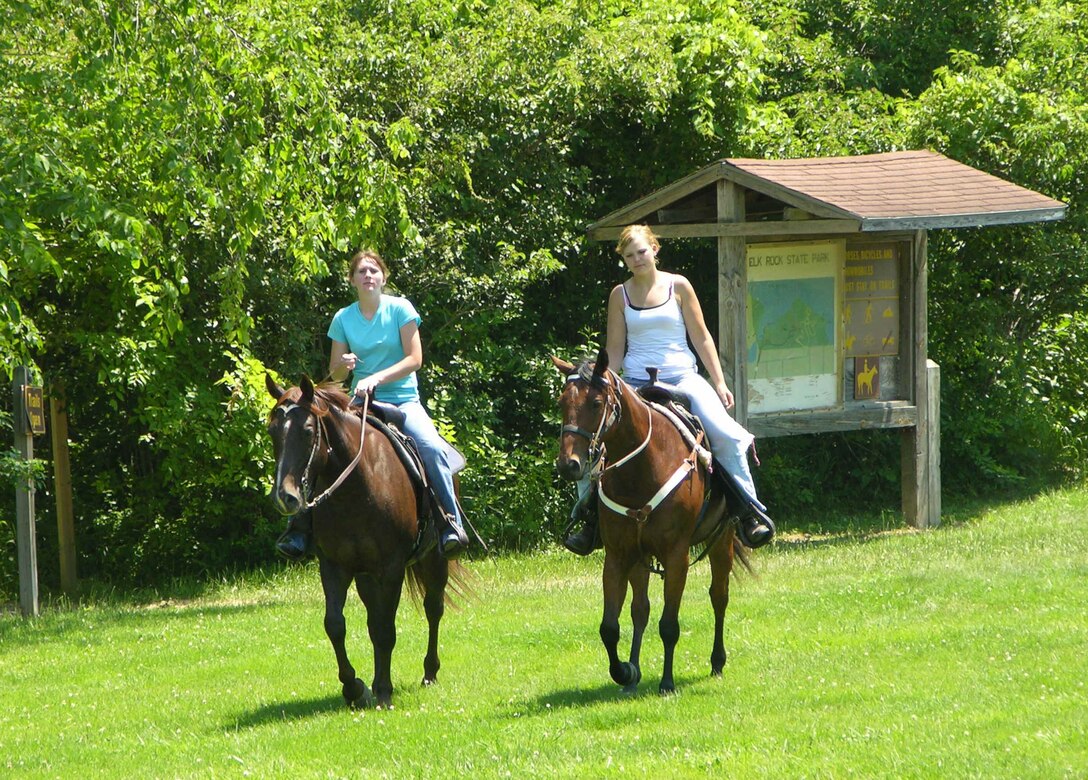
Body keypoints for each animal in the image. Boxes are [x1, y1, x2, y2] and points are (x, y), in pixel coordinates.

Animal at [267, 374, 467, 709]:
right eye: (272, 431)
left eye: (307, 430)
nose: (286, 497)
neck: (357, 488)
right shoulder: (334, 566)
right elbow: (336, 625)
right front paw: (354, 688)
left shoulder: (391, 568)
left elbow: (385, 630)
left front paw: (383, 691)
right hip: (365, 576)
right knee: (375, 617)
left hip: (435, 559)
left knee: (433, 608)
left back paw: (429, 672)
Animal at [557, 345, 744, 691]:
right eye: (562, 403)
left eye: (596, 403)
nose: (568, 464)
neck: (643, 468)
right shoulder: (618, 556)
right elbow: (610, 627)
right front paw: (626, 671)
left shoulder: (676, 556)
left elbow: (669, 624)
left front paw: (667, 682)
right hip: (639, 558)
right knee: (640, 609)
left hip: (722, 540)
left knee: (719, 596)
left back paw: (717, 662)